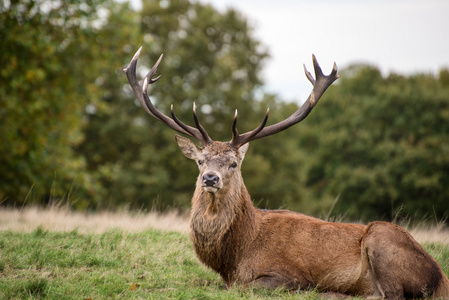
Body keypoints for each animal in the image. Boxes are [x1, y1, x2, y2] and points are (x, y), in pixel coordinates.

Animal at [123, 45, 448, 298]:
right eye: (200, 161)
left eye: (233, 163)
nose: (210, 178)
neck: (236, 256)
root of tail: (440, 278)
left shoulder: (286, 275)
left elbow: (246, 287)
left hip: (382, 237)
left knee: (390, 294)